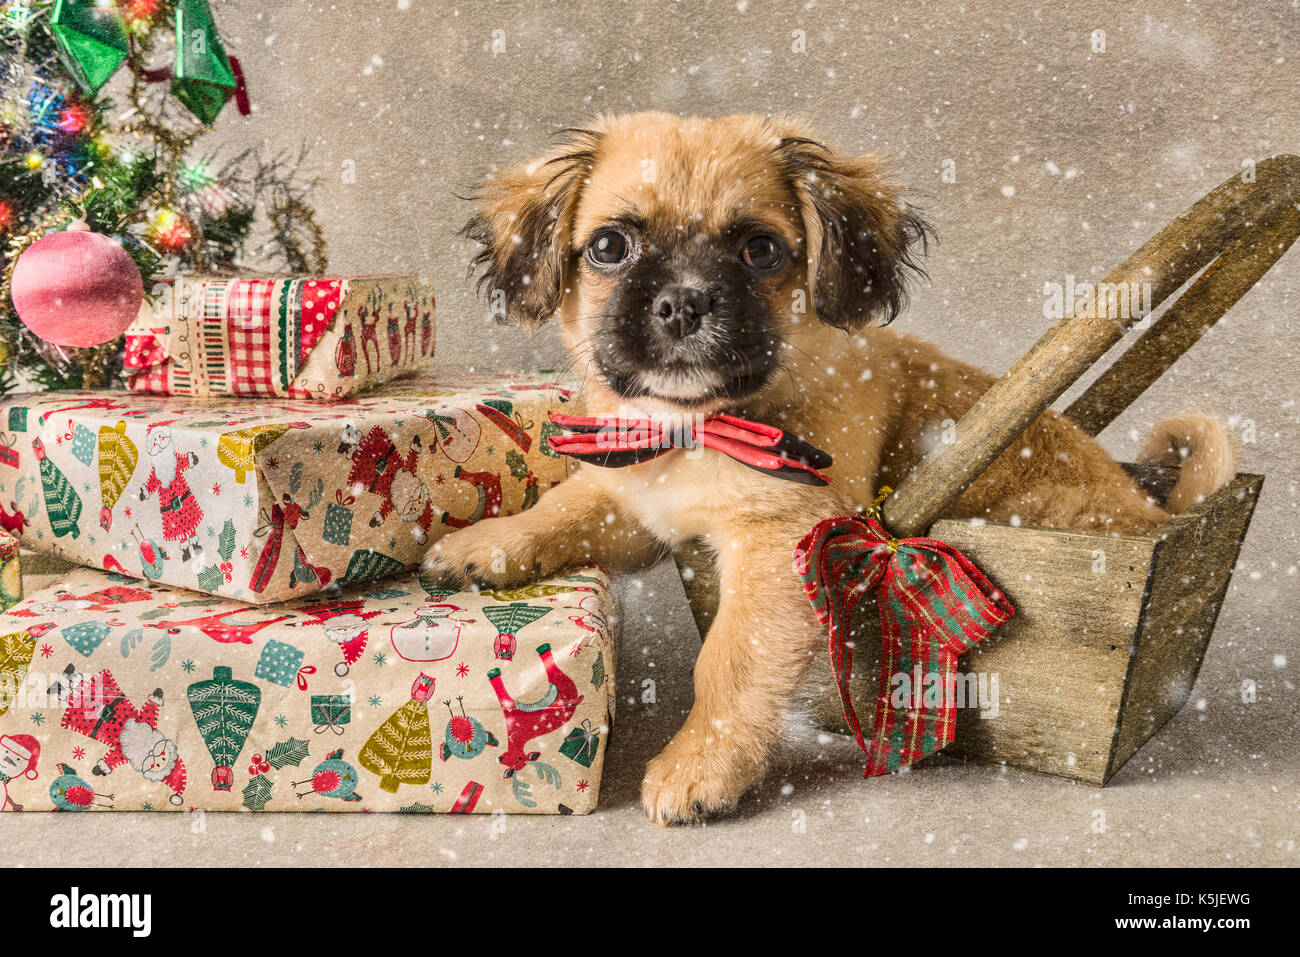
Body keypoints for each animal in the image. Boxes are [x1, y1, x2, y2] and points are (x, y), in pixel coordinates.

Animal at [428, 111, 1237, 821]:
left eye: (759, 250)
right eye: (609, 246)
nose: (685, 303)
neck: (705, 427)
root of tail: (1153, 513)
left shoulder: (775, 546)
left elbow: (728, 663)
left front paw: (700, 764)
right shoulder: (638, 505)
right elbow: (564, 507)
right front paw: (482, 545)